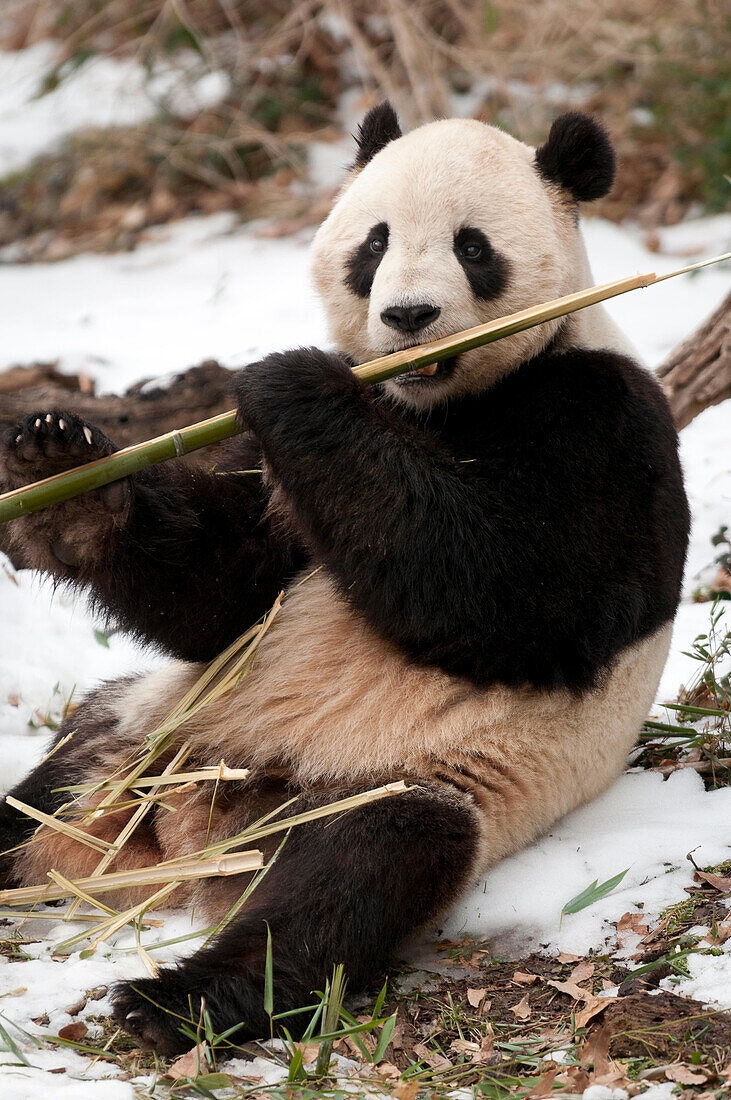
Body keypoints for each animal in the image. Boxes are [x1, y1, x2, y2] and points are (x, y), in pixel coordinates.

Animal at [0, 105, 685, 1056]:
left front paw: (291, 379)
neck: (428, 400)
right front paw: (62, 477)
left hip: (405, 780)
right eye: (375, 242)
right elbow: (221, 597)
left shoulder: (603, 418)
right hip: (137, 736)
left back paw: (176, 1001)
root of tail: (191, 838)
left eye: (472, 246)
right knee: (41, 793)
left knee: (348, 876)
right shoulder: (283, 481)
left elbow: (510, 591)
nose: (407, 314)